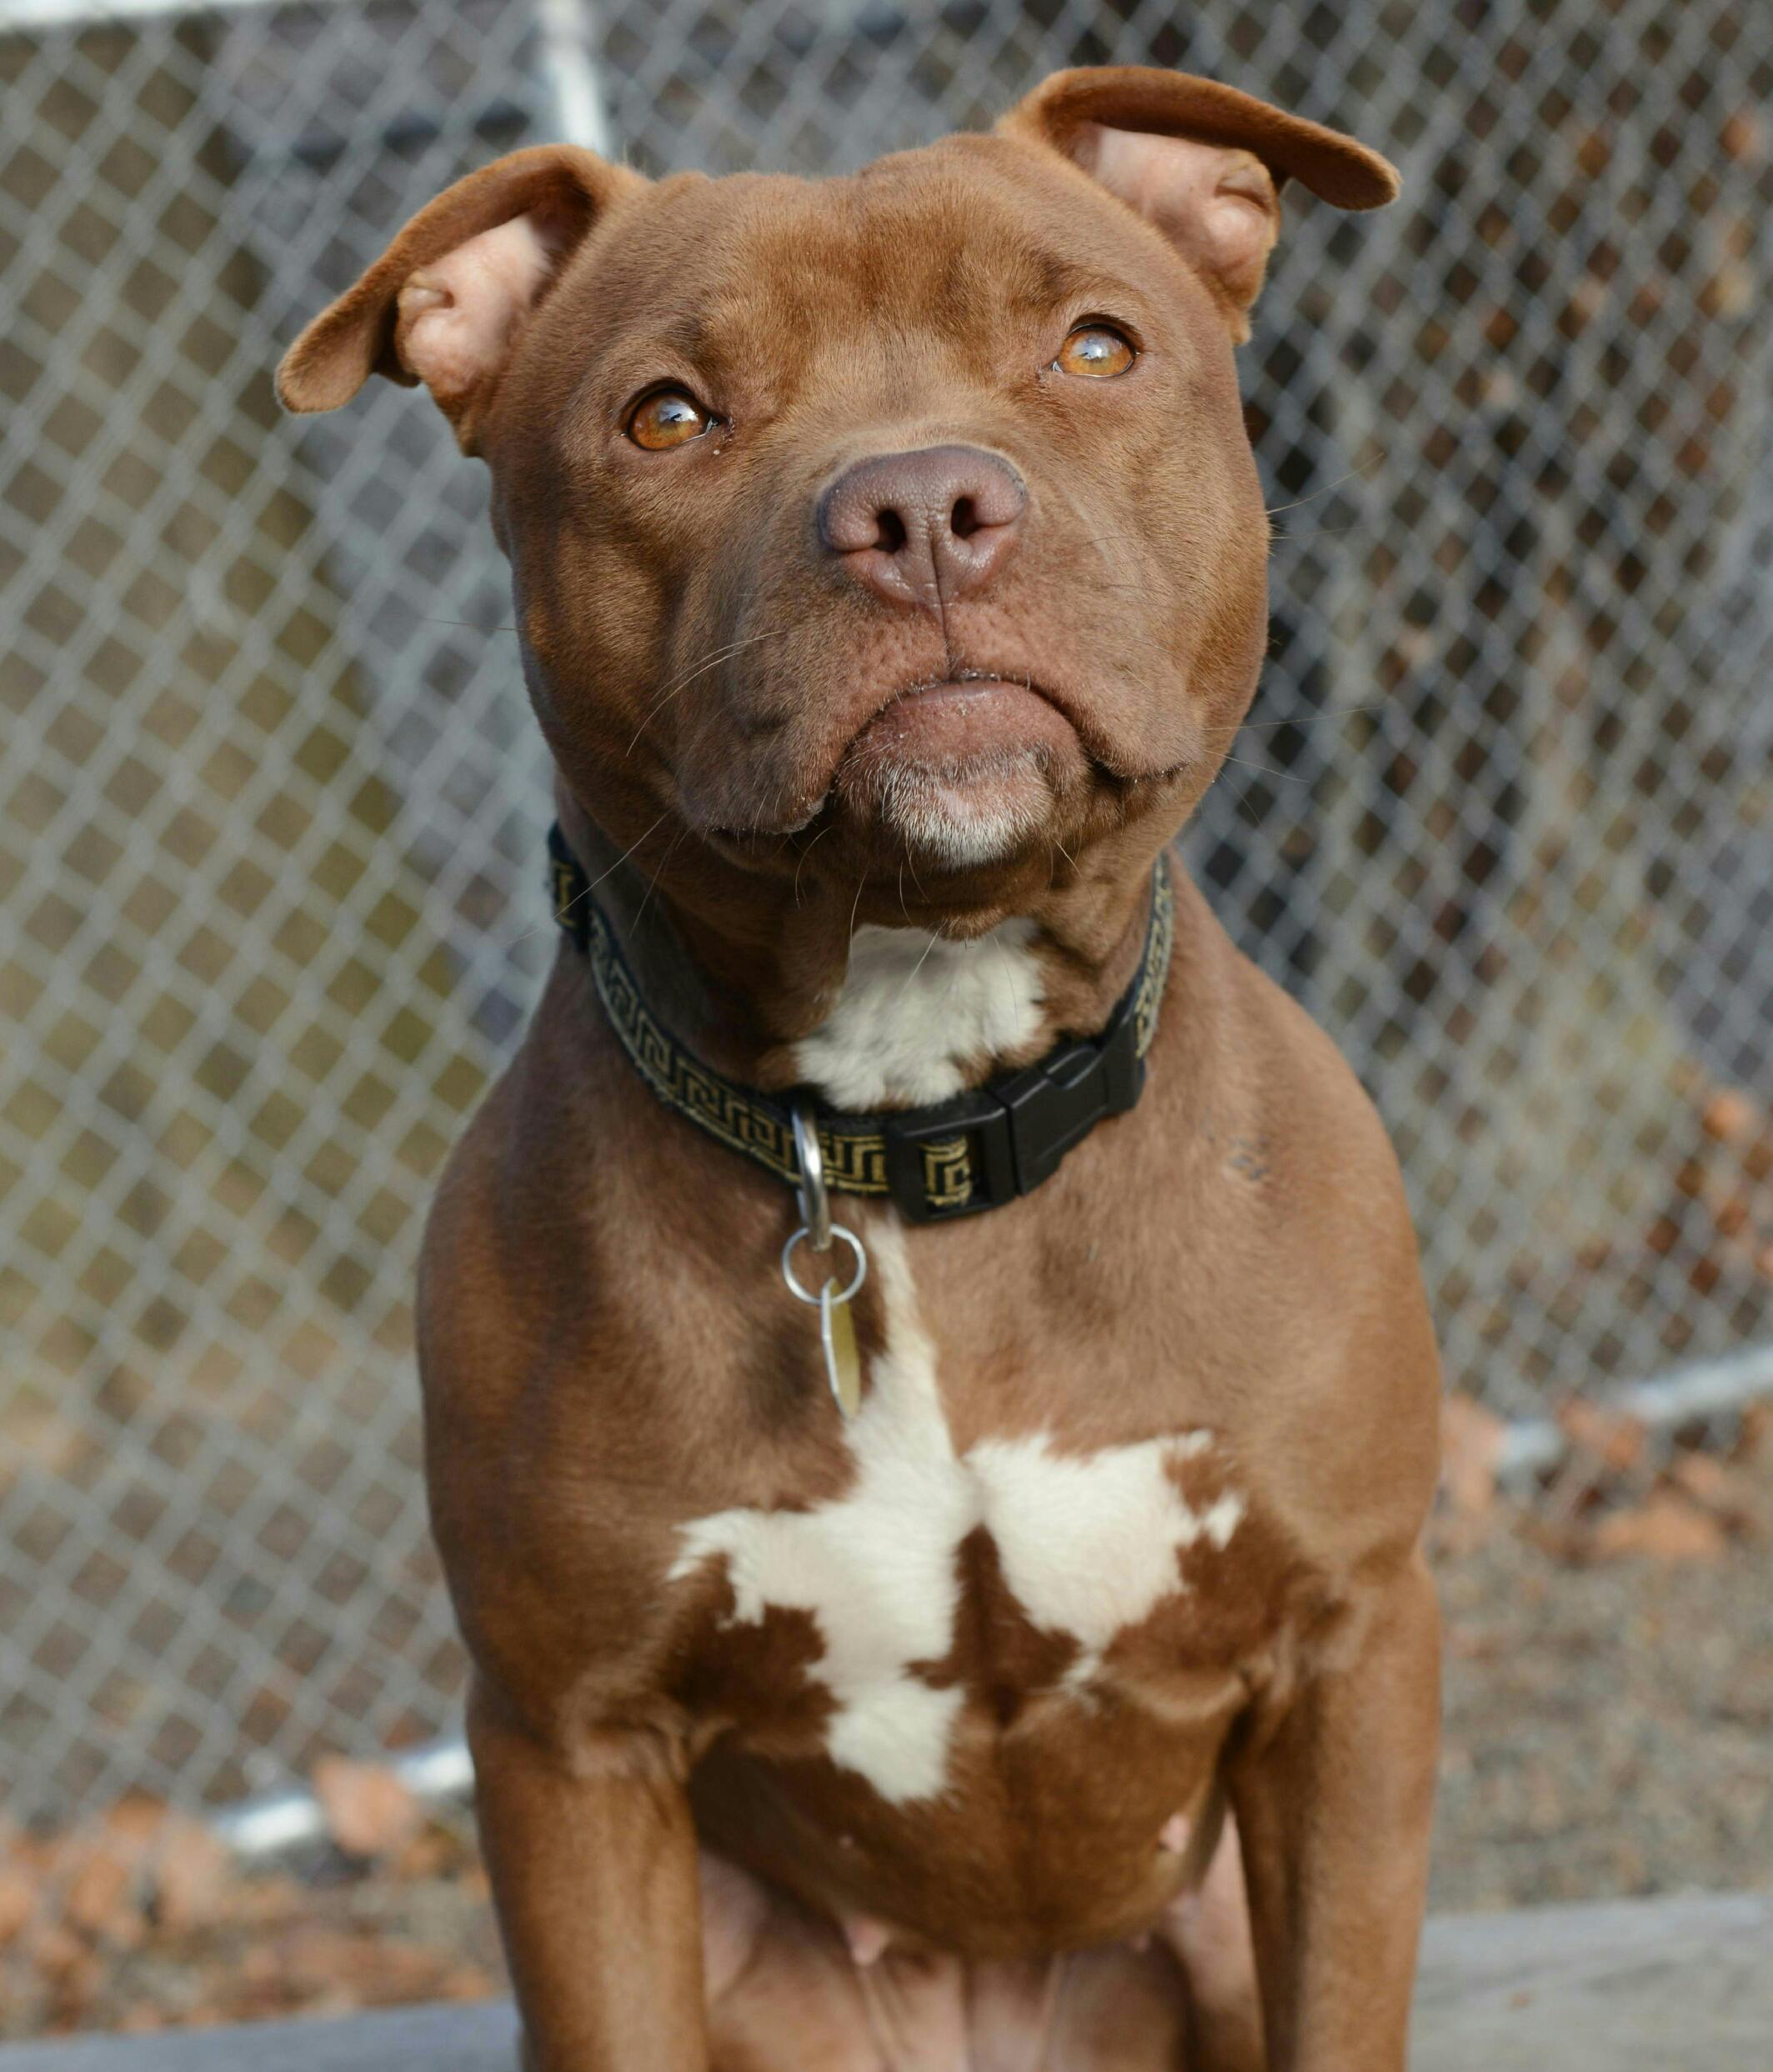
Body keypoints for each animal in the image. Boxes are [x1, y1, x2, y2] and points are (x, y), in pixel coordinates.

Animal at [279, 65, 1440, 2070]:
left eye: (1093, 344)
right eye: (667, 414)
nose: (916, 505)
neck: (915, 1115)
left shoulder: (1353, 1649)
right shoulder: (567, 1746)